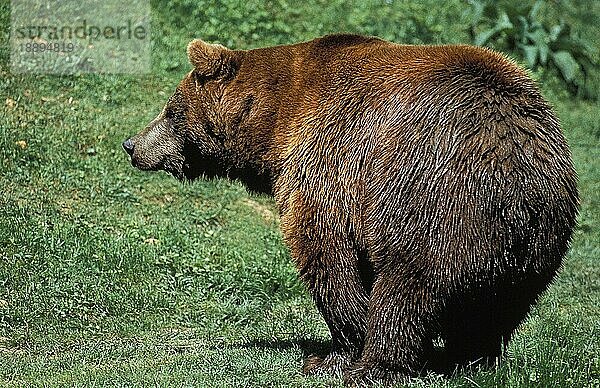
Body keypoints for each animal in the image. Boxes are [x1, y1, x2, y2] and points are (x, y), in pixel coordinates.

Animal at [122, 34, 576, 386]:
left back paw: (375, 367)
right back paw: (471, 360)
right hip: (538, 242)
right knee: (498, 309)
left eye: (170, 110)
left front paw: (331, 355)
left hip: (436, 201)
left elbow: (329, 257)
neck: (276, 121)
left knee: (408, 287)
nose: (132, 144)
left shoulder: (330, 160)